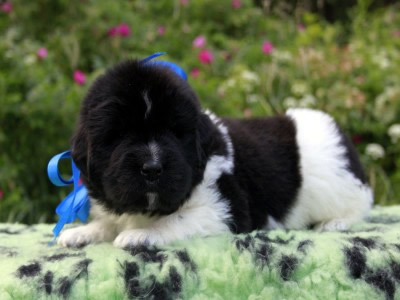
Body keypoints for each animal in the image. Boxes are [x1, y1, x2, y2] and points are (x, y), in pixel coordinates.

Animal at [57, 59, 374, 248]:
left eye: (175, 133)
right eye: (119, 136)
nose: (153, 167)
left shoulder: (226, 208)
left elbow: (175, 220)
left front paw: (141, 234)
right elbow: (108, 222)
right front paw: (80, 232)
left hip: (339, 185)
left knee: (362, 203)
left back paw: (335, 222)